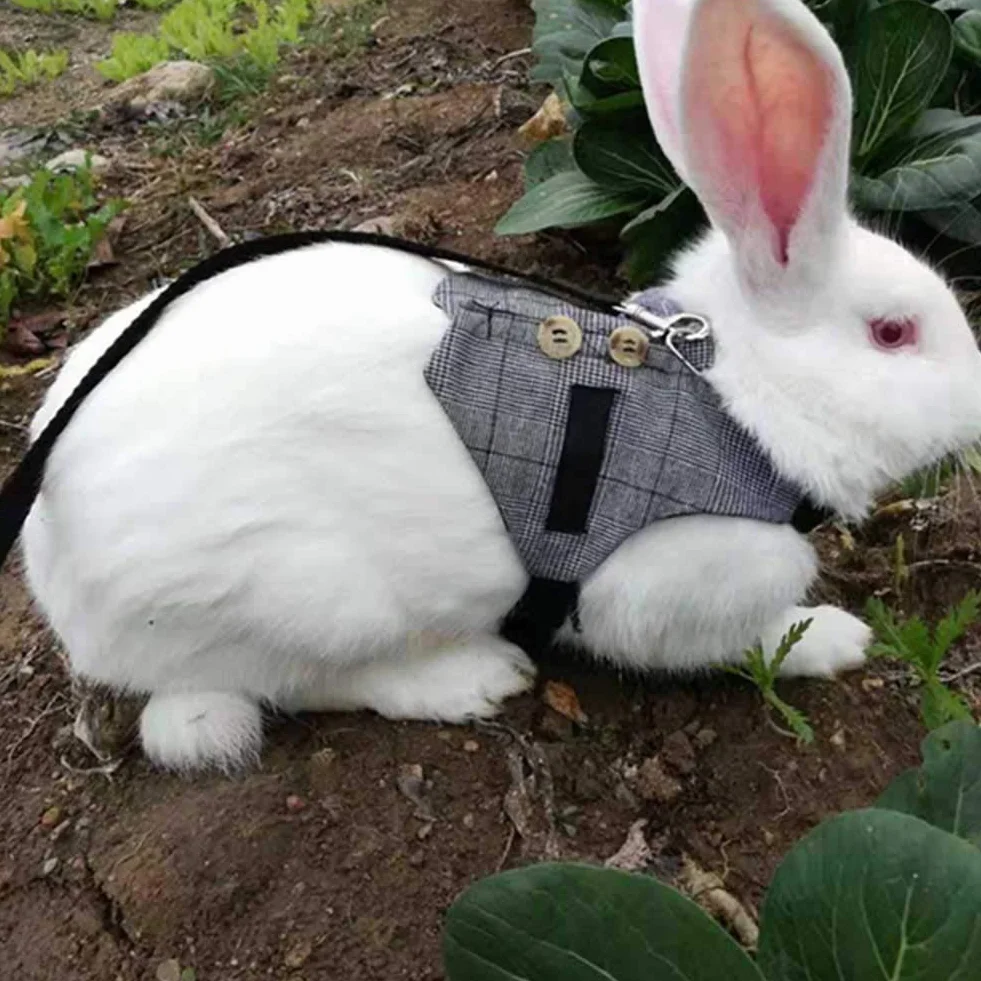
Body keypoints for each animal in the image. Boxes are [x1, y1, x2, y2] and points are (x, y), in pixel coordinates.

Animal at [17, 0, 981, 772]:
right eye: (892, 333)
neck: (732, 400)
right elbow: (746, 639)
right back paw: (472, 678)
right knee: (307, 682)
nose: (978, 401)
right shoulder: (666, 584)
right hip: (304, 600)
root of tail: (58, 576)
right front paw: (838, 638)